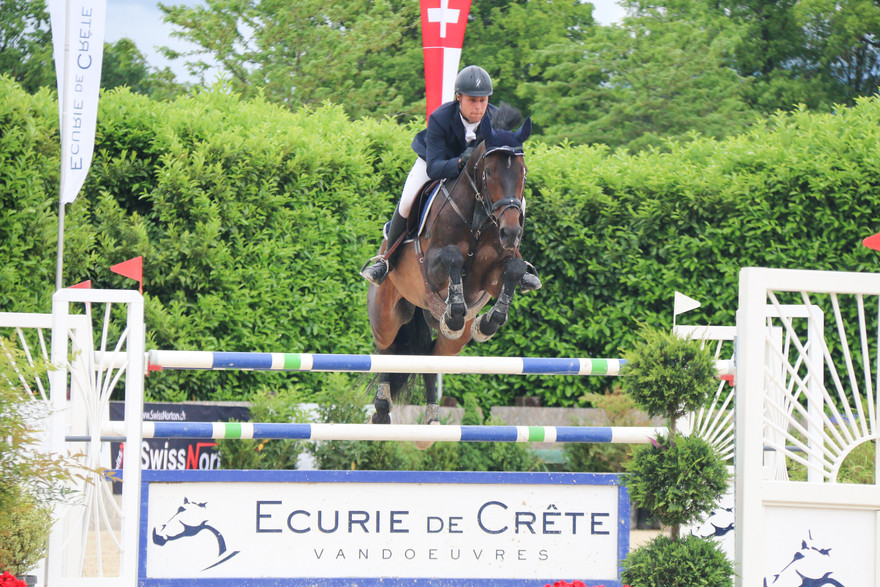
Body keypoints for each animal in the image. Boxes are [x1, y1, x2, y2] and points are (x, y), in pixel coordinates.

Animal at [366, 109, 533, 434]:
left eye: (523, 172)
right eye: (489, 173)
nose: (511, 233)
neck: (479, 217)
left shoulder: (489, 279)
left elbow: (514, 269)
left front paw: (489, 322)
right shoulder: (431, 267)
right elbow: (453, 256)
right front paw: (454, 311)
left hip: (452, 342)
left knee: (431, 358)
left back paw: (431, 416)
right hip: (385, 317)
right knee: (389, 350)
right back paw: (381, 409)